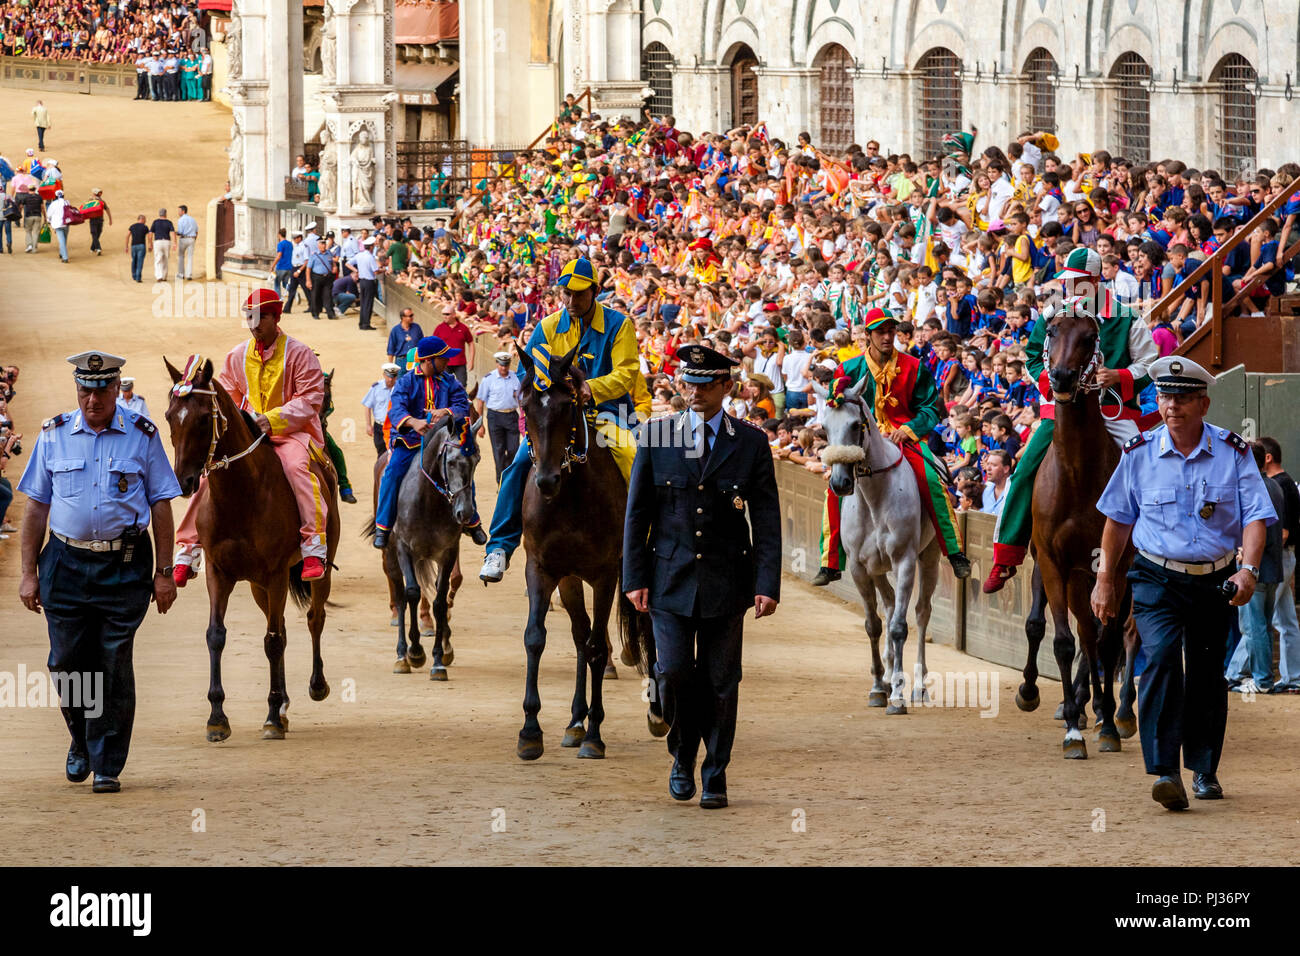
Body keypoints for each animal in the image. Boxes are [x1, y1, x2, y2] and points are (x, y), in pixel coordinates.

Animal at [165, 356, 338, 738]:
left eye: (204, 418)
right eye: (169, 416)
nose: (184, 481)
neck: (240, 495)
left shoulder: (275, 573)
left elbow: (272, 641)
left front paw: (272, 715)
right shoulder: (219, 572)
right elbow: (216, 635)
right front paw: (217, 717)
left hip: (315, 568)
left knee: (314, 617)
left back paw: (315, 686)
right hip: (259, 586)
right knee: (283, 627)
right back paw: (284, 705)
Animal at [366, 418, 483, 681]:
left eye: (477, 460)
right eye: (451, 461)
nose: (465, 513)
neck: (429, 500)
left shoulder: (448, 552)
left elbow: (440, 599)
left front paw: (440, 657)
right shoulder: (404, 549)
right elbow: (411, 593)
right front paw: (415, 652)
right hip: (391, 554)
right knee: (400, 594)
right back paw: (402, 654)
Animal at [512, 343, 665, 764]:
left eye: (568, 407)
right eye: (526, 405)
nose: (546, 479)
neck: (570, 497)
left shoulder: (604, 574)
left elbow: (599, 646)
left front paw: (596, 734)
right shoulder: (543, 568)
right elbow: (537, 637)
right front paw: (531, 731)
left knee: (649, 629)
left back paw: (656, 713)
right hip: (569, 578)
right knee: (580, 635)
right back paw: (574, 722)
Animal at [816, 377, 941, 712]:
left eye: (855, 424)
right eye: (824, 427)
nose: (839, 483)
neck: (874, 497)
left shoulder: (904, 561)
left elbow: (899, 626)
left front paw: (897, 696)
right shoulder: (860, 567)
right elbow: (873, 625)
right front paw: (877, 686)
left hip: (929, 557)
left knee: (921, 612)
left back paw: (917, 686)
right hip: (877, 569)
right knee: (888, 604)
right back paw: (887, 676)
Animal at [1019, 303, 1133, 759]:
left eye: (1089, 337)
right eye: (1051, 330)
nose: (1064, 377)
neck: (1079, 475)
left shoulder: (1114, 566)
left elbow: (1106, 640)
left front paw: (1106, 724)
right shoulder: (1055, 562)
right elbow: (1065, 641)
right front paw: (1072, 729)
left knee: (1105, 636)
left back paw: (1109, 712)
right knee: (1068, 630)